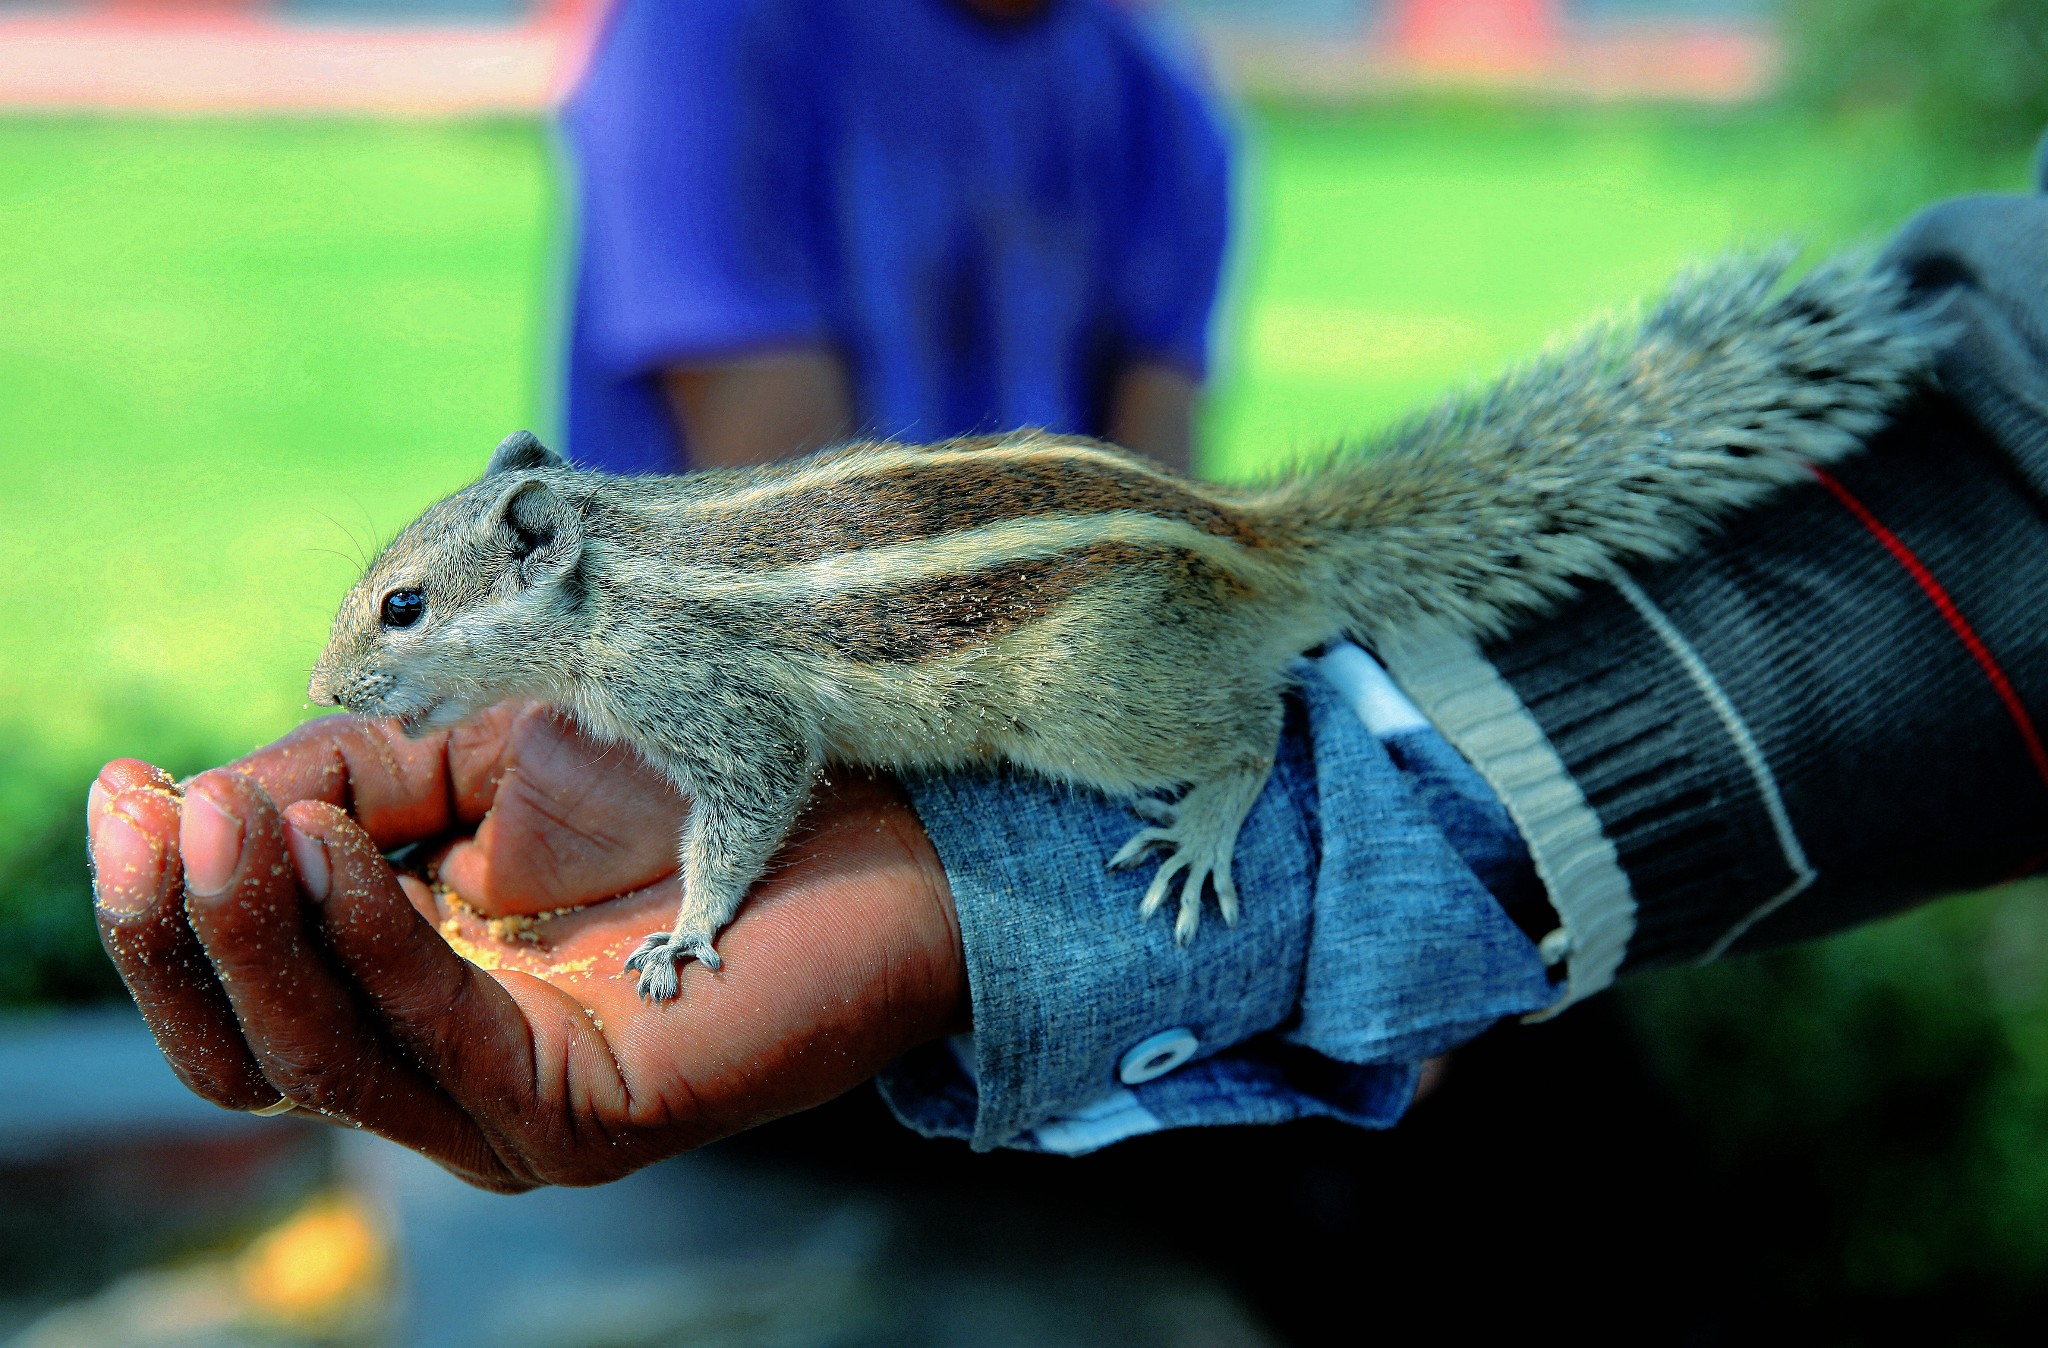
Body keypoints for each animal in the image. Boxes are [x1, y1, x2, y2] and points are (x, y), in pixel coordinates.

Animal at [307, 248, 1933, 995]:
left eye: (402, 604)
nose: (322, 692)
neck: (621, 562)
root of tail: (1250, 542)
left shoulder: (721, 709)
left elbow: (747, 812)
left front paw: (689, 934)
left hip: (1086, 699)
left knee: (1264, 717)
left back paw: (1206, 825)